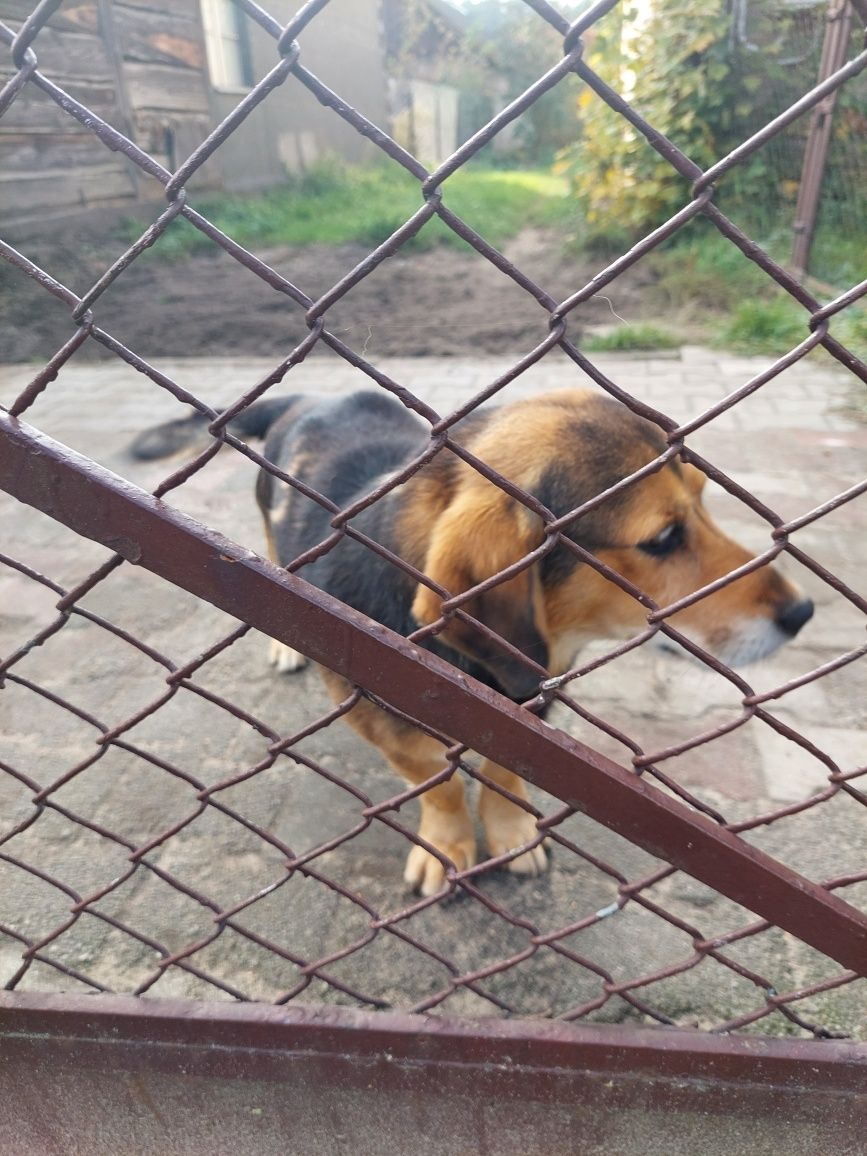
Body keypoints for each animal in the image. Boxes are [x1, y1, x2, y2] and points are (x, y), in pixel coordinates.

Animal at [132, 388, 818, 892]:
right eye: (662, 538)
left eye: (704, 504)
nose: (803, 611)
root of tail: (310, 394)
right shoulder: (380, 721)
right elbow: (434, 781)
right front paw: (449, 843)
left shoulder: (534, 697)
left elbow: (503, 766)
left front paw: (509, 828)